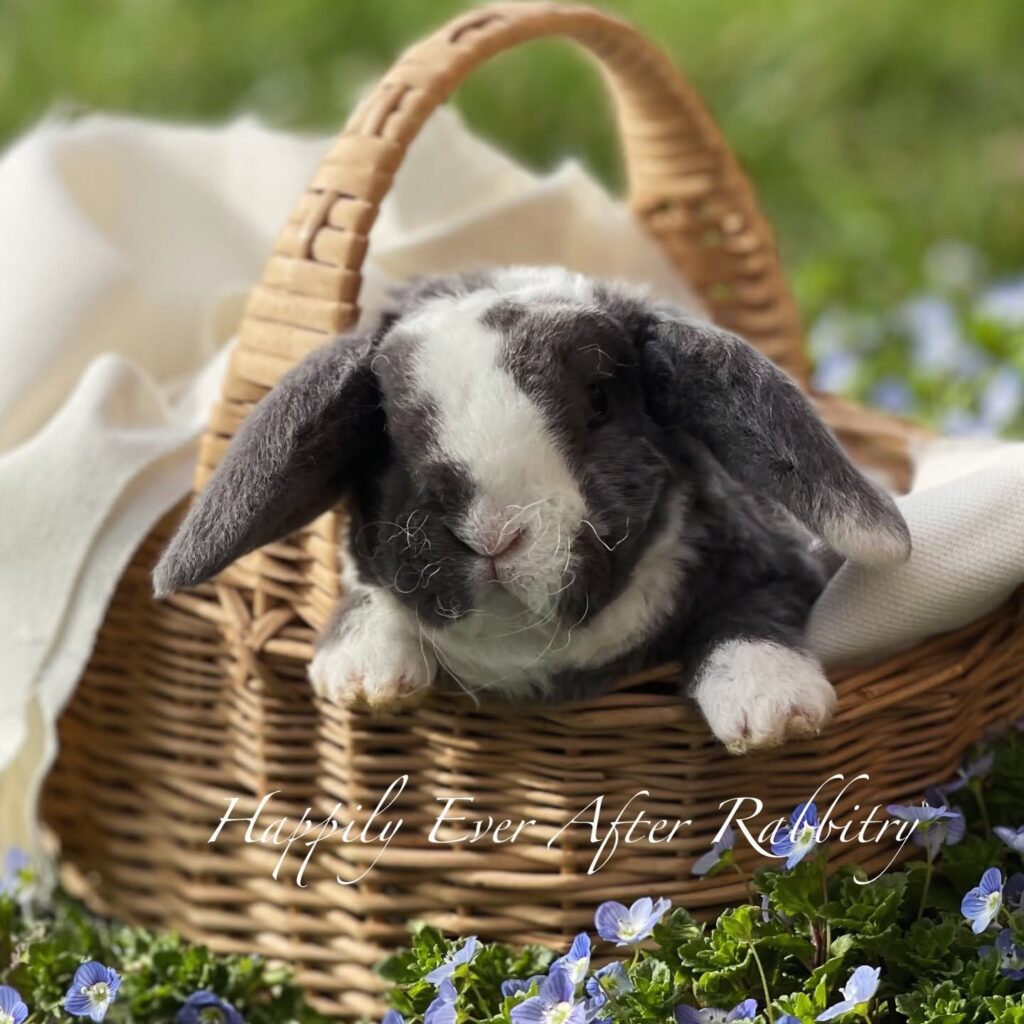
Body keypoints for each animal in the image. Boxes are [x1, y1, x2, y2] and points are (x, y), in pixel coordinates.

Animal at [153, 267, 911, 753]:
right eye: (386, 428)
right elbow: (372, 596)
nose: (493, 533)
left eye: (600, 401)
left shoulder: (777, 568)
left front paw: (773, 710)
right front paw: (363, 678)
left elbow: (748, 614)